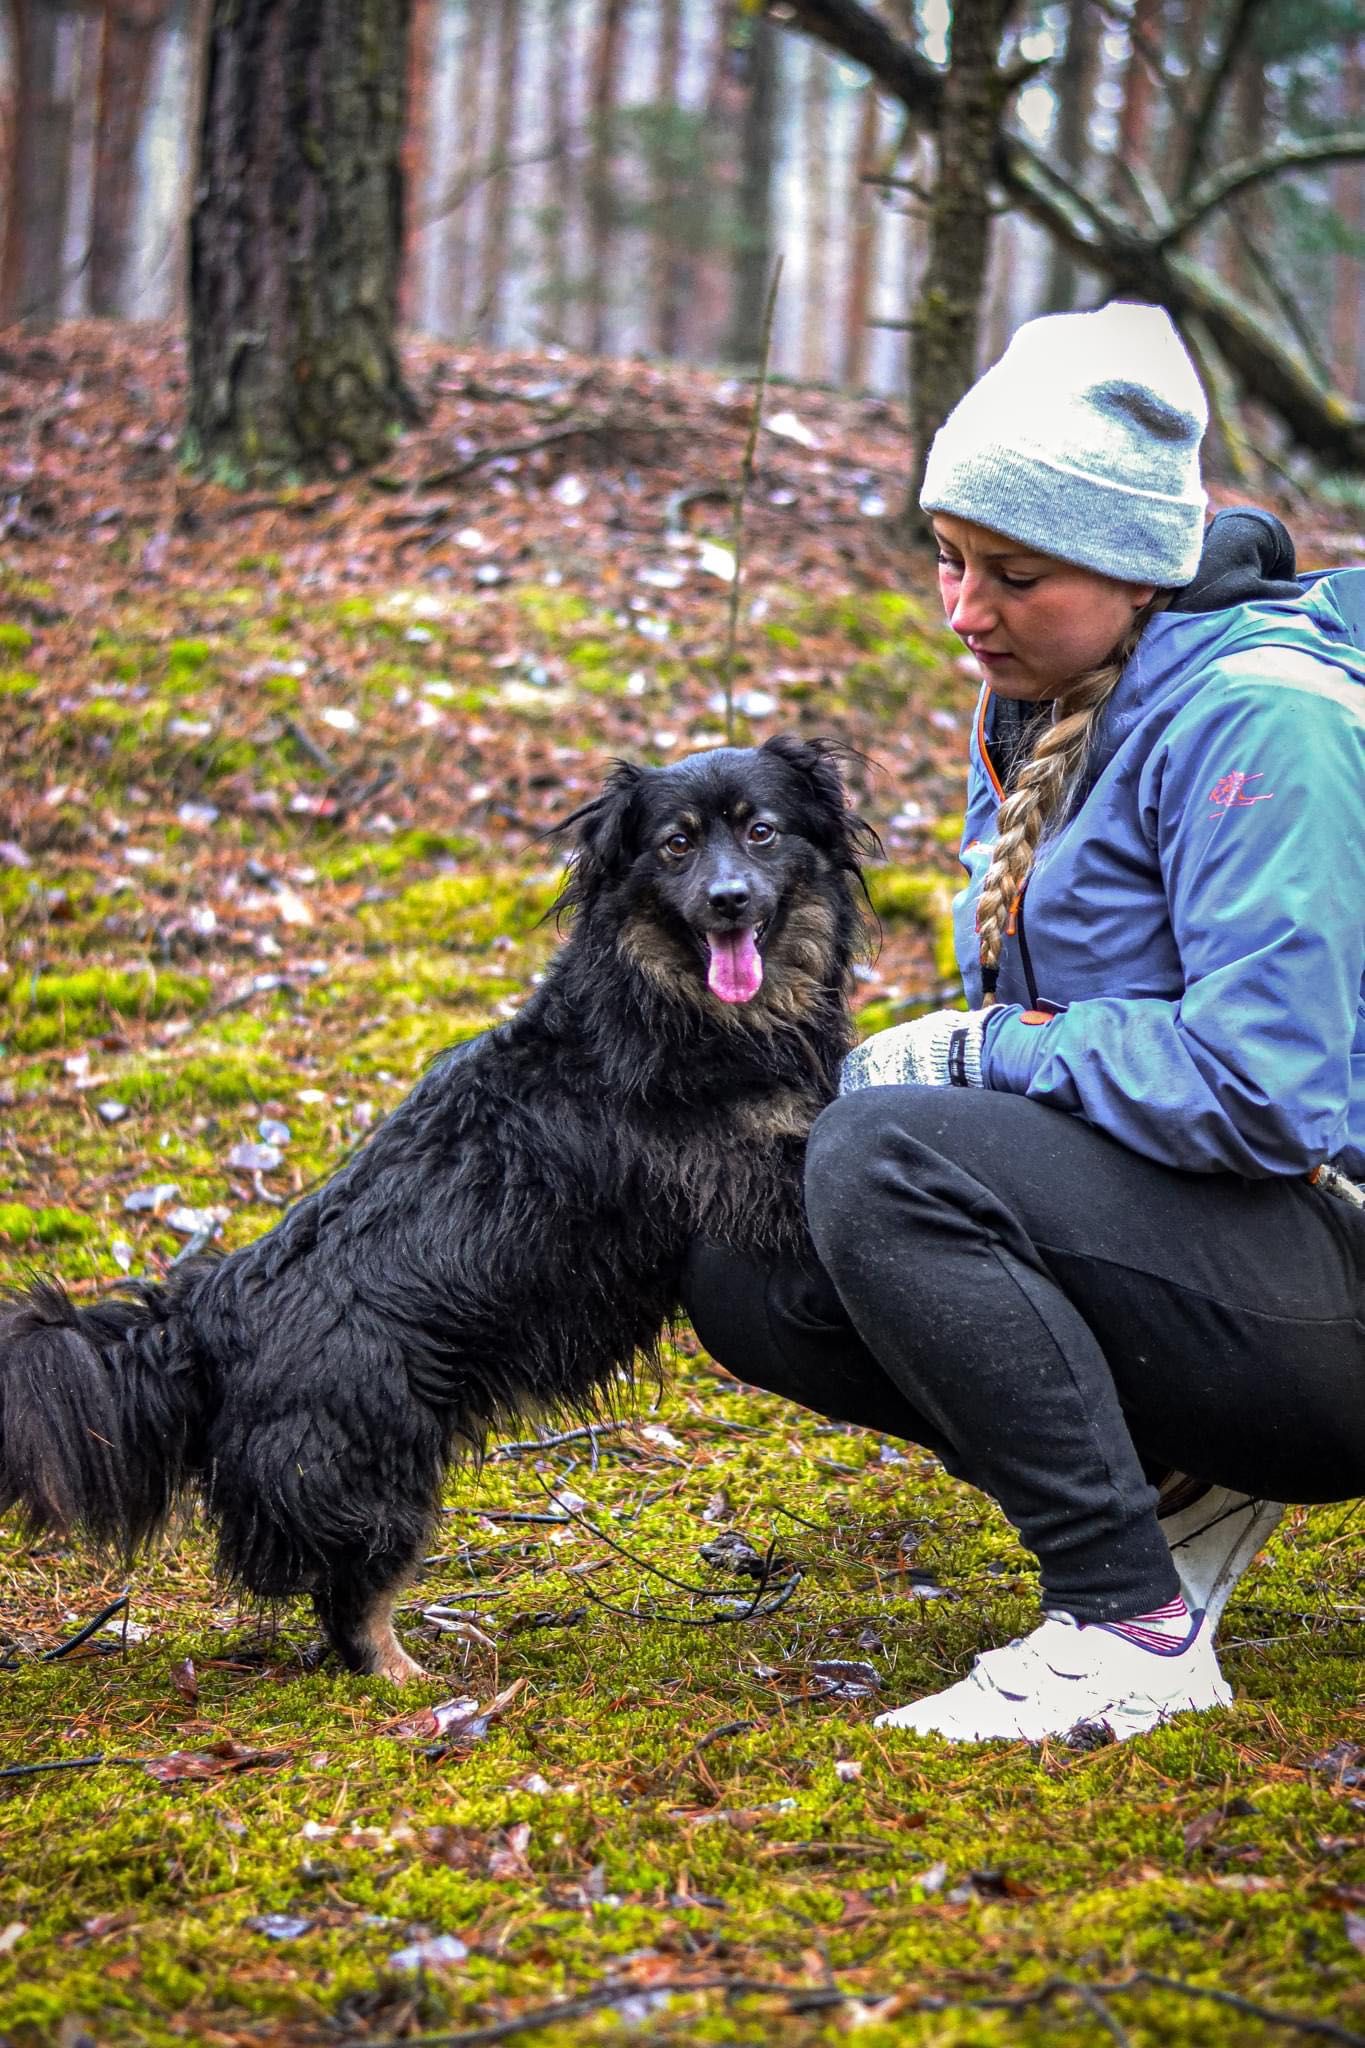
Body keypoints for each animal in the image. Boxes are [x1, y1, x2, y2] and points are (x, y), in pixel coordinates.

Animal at [0, 737, 875, 1679]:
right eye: (675, 845)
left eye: (761, 831)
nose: (728, 899)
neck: (676, 1005)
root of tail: (208, 1313)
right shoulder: (740, 1176)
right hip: (381, 1461)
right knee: (351, 1598)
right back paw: (408, 1679)